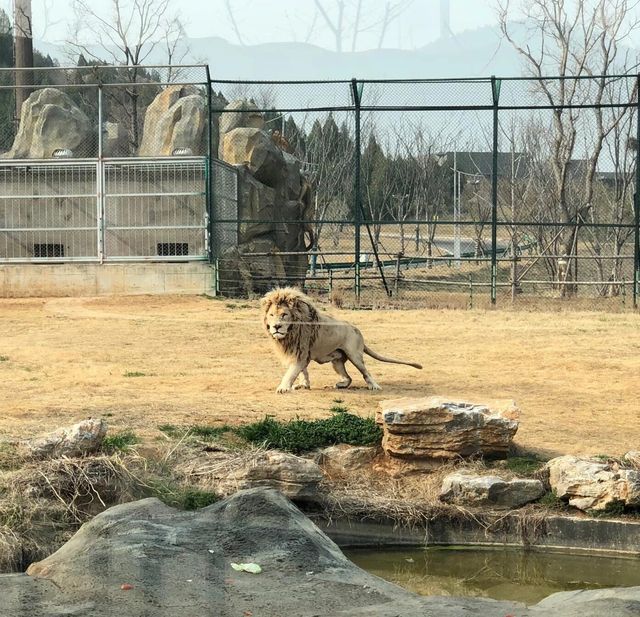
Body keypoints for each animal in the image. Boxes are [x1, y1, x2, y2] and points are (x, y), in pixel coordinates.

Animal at [258, 286, 422, 392]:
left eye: (284, 315)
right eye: (271, 315)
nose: (276, 327)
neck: (291, 331)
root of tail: (357, 330)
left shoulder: (301, 353)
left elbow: (291, 372)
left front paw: (283, 387)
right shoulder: (299, 353)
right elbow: (303, 372)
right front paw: (304, 385)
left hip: (355, 356)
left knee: (366, 372)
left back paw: (374, 386)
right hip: (337, 362)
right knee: (348, 378)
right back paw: (341, 384)